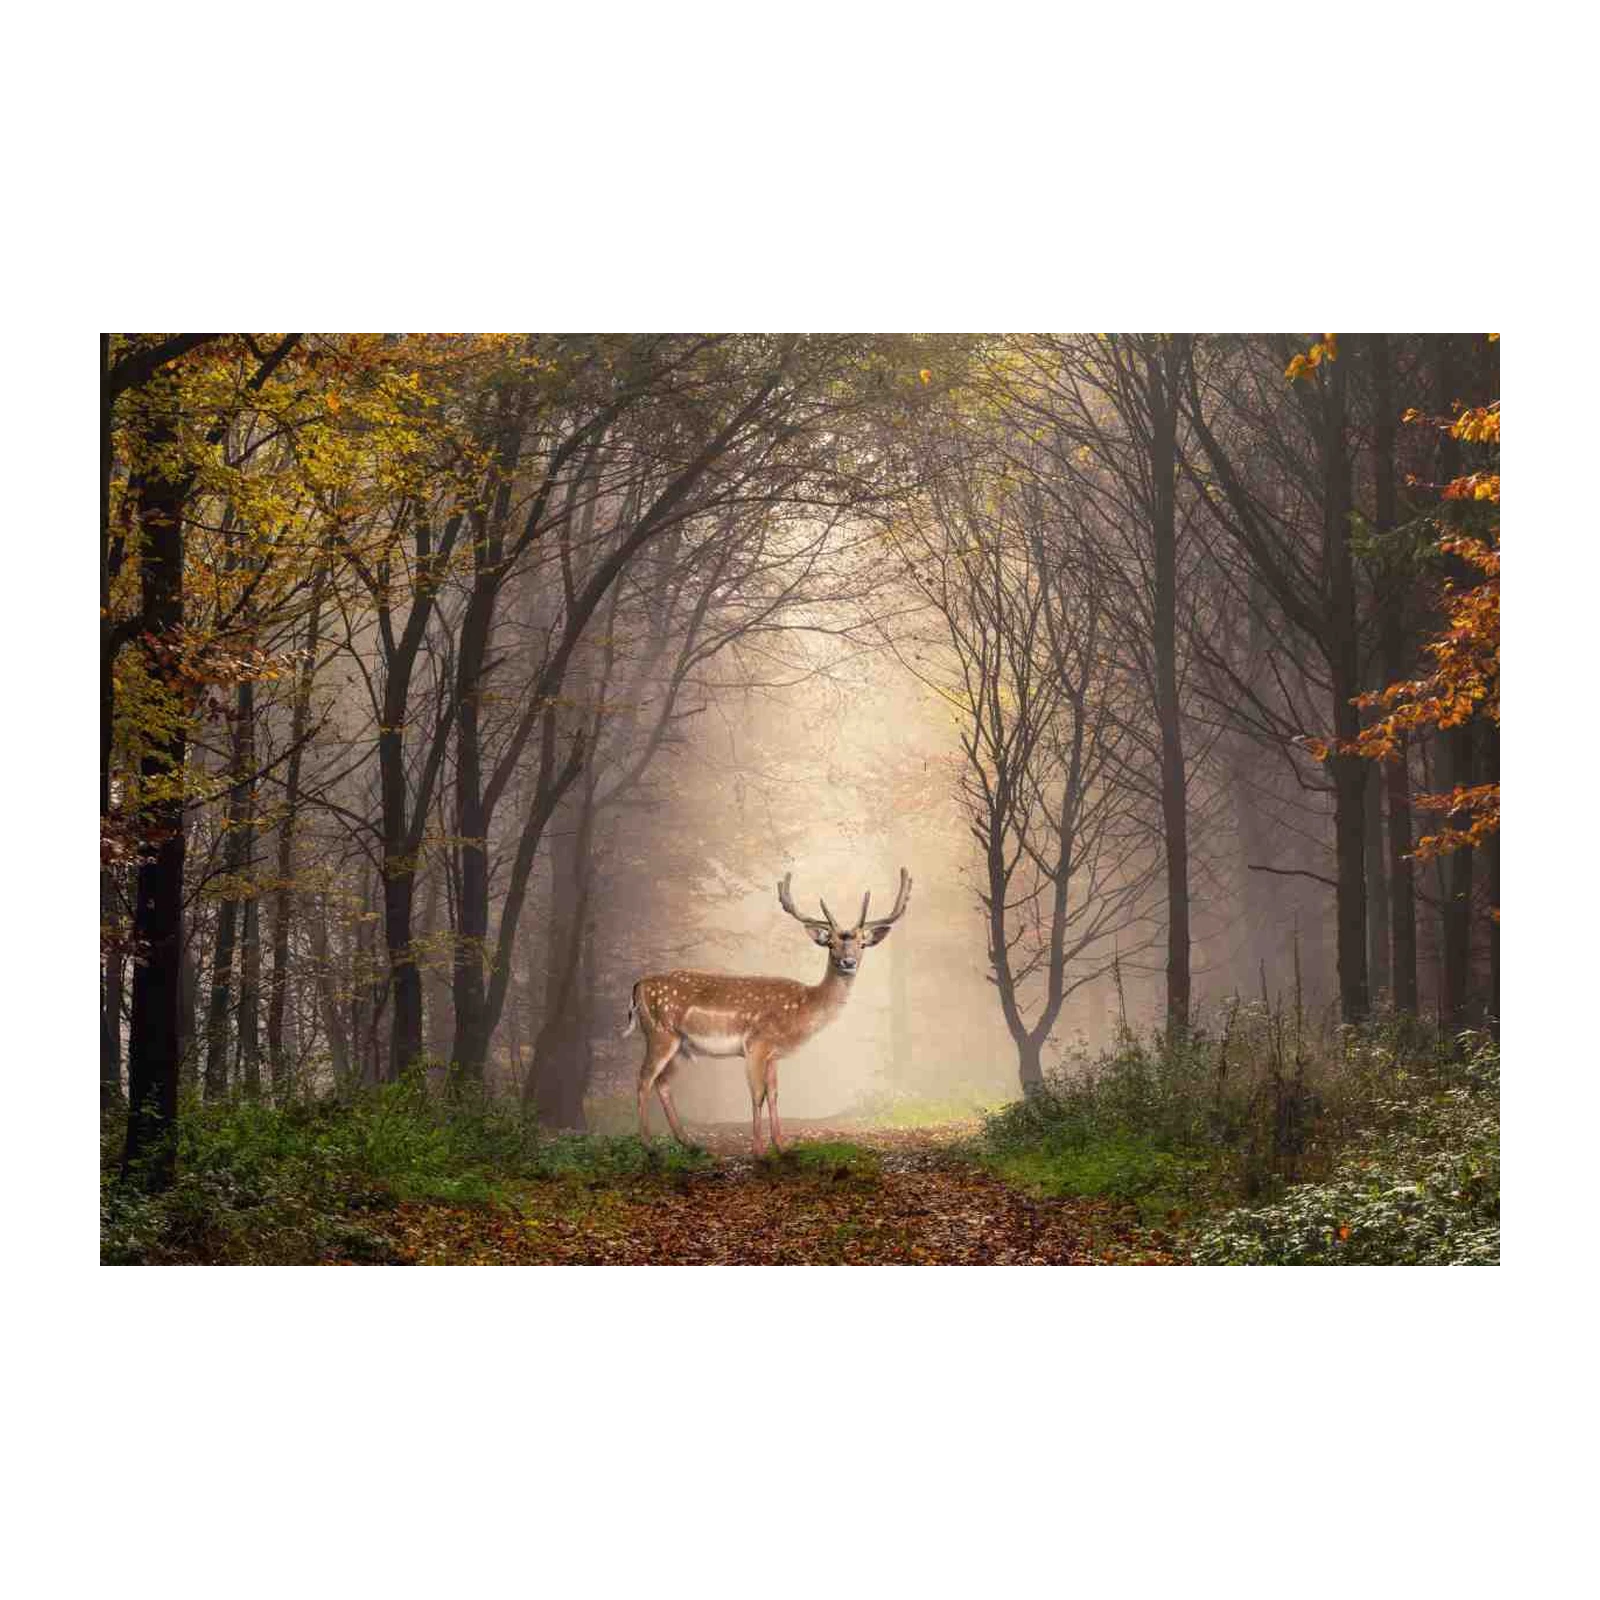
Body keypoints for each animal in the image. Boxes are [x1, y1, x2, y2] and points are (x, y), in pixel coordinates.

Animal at [623, 868, 912, 1157]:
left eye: (862, 944)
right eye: (830, 943)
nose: (848, 962)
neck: (802, 1009)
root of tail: (638, 986)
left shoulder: (774, 1054)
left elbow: (773, 1094)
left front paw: (782, 1145)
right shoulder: (756, 1043)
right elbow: (757, 1094)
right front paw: (759, 1150)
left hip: (679, 1044)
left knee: (663, 1083)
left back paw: (689, 1142)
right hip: (660, 1033)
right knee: (643, 1078)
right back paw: (648, 1145)